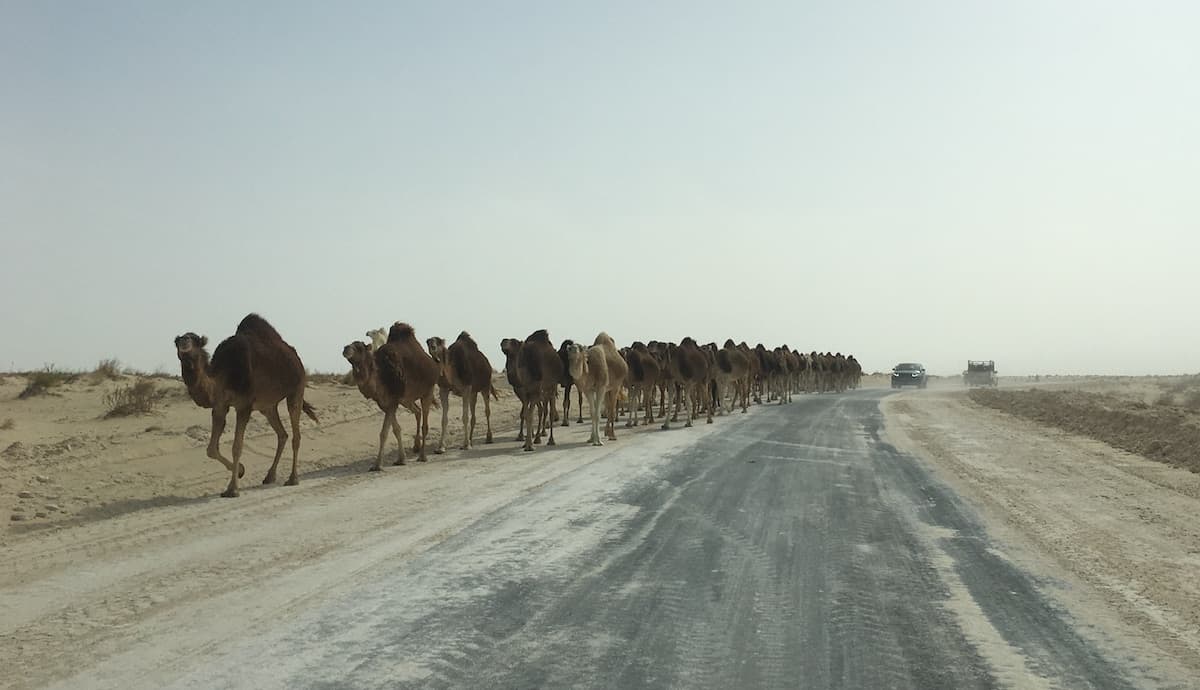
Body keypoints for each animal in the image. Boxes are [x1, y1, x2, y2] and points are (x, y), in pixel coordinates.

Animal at [175, 312, 319, 496]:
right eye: (178, 340)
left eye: (195, 339)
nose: (184, 340)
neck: (224, 375)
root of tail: (296, 358)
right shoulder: (220, 406)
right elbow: (211, 449)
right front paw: (241, 471)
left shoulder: (244, 405)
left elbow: (237, 446)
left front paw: (232, 489)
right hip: (267, 406)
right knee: (282, 434)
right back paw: (269, 476)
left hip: (296, 390)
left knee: (296, 435)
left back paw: (292, 479)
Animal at [340, 321, 439, 472]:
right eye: (351, 344)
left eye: (359, 347)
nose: (346, 349)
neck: (380, 374)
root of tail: (432, 364)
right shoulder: (385, 403)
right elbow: (394, 430)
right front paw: (398, 460)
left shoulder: (393, 401)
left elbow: (386, 432)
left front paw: (380, 464)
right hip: (406, 399)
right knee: (417, 411)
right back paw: (416, 446)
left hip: (427, 391)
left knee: (425, 423)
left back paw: (422, 456)